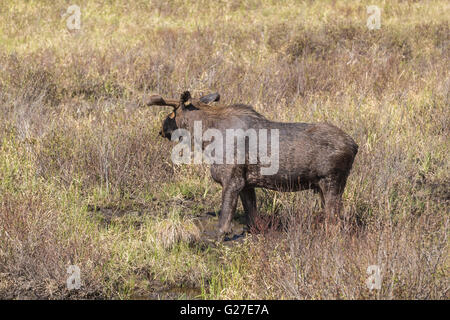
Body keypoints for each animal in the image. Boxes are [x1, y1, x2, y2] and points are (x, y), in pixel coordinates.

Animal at [148, 90, 358, 238]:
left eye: (172, 114)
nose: (161, 130)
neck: (205, 140)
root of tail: (355, 146)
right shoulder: (247, 184)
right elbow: (252, 217)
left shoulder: (232, 180)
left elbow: (224, 220)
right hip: (324, 187)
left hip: (331, 182)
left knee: (336, 224)